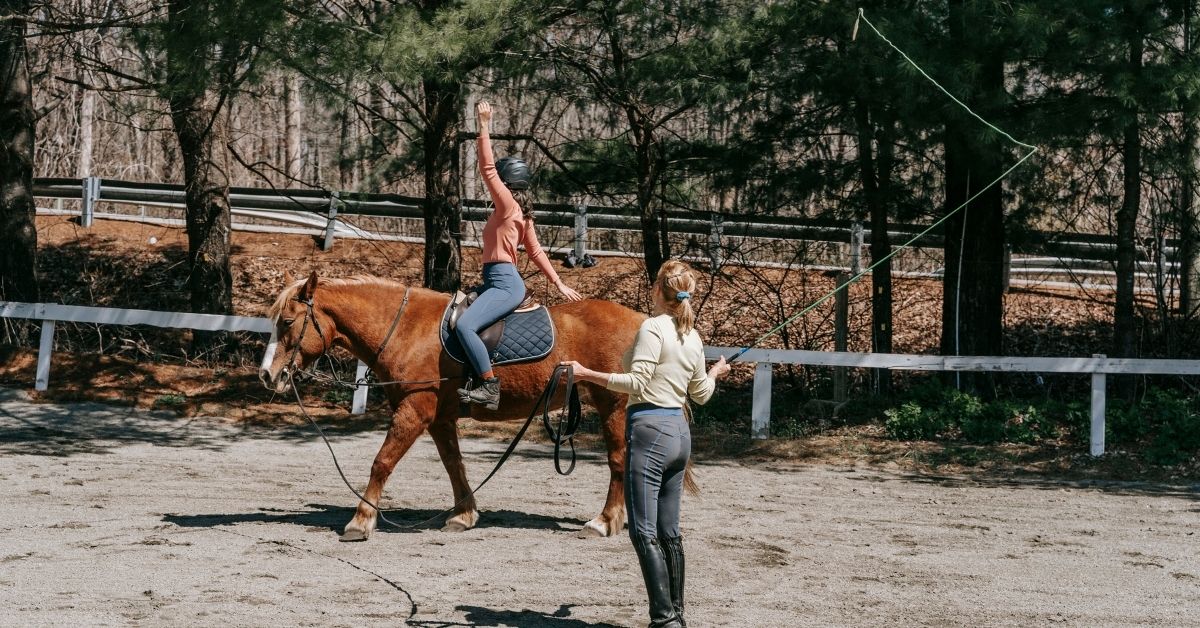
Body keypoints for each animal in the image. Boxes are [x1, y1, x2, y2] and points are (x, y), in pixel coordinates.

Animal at [259, 272, 643, 542]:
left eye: (288, 322)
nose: (267, 374)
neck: (407, 329)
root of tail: (639, 321)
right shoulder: (439, 419)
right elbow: (453, 465)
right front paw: (464, 515)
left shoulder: (415, 411)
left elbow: (382, 463)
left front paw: (361, 520)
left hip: (613, 404)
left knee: (618, 461)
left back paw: (604, 521)